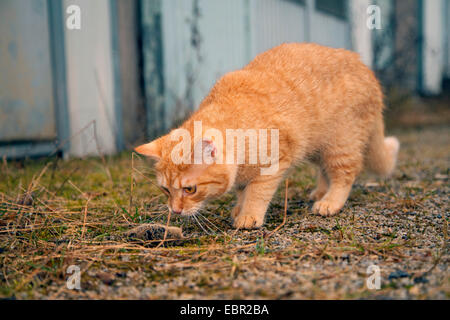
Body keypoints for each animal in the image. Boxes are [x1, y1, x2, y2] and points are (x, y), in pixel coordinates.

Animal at [135, 43, 400, 230]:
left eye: (189, 190)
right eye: (166, 190)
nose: (175, 211)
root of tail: (364, 66)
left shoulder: (273, 164)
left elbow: (256, 193)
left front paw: (248, 215)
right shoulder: (243, 174)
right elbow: (242, 191)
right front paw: (238, 208)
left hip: (340, 144)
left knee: (345, 175)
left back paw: (329, 201)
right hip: (317, 148)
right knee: (325, 171)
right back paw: (320, 191)